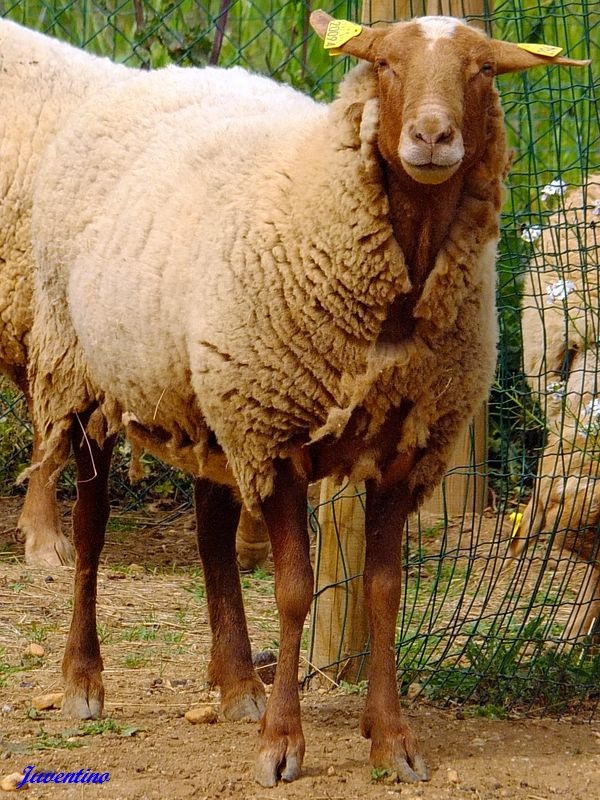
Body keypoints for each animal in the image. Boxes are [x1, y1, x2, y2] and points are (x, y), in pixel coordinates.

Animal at [24, 7, 584, 788]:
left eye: (482, 70)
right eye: (385, 65)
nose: (432, 137)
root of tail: (150, 77)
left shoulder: (401, 449)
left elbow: (385, 591)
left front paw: (390, 739)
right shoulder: (279, 436)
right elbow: (293, 591)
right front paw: (282, 745)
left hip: (212, 400)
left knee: (211, 531)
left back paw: (236, 686)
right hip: (82, 371)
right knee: (92, 525)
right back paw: (83, 680)